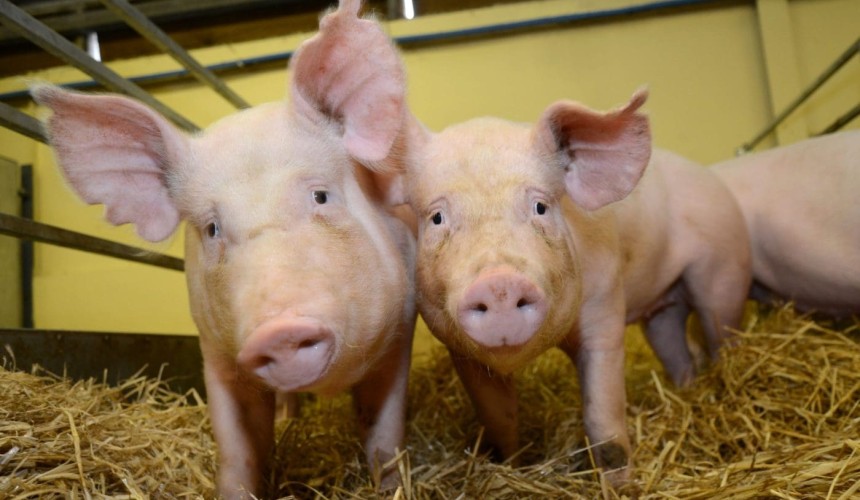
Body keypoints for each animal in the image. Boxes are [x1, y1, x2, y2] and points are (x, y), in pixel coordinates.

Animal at [31, 0, 416, 497]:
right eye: (212, 228)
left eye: (321, 196)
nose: (278, 331)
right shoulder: (214, 353)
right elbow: (238, 448)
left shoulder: (401, 328)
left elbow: (384, 436)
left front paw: (389, 483)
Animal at [385, 91, 751, 483]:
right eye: (437, 218)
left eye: (541, 207)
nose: (499, 284)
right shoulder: (460, 351)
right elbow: (499, 418)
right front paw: (512, 465)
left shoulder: (605, 305)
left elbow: (603, 418)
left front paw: (618, 484)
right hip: (663, 311)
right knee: (676, 349)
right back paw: (687, 386)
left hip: (724, 271)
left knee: (721, 333)